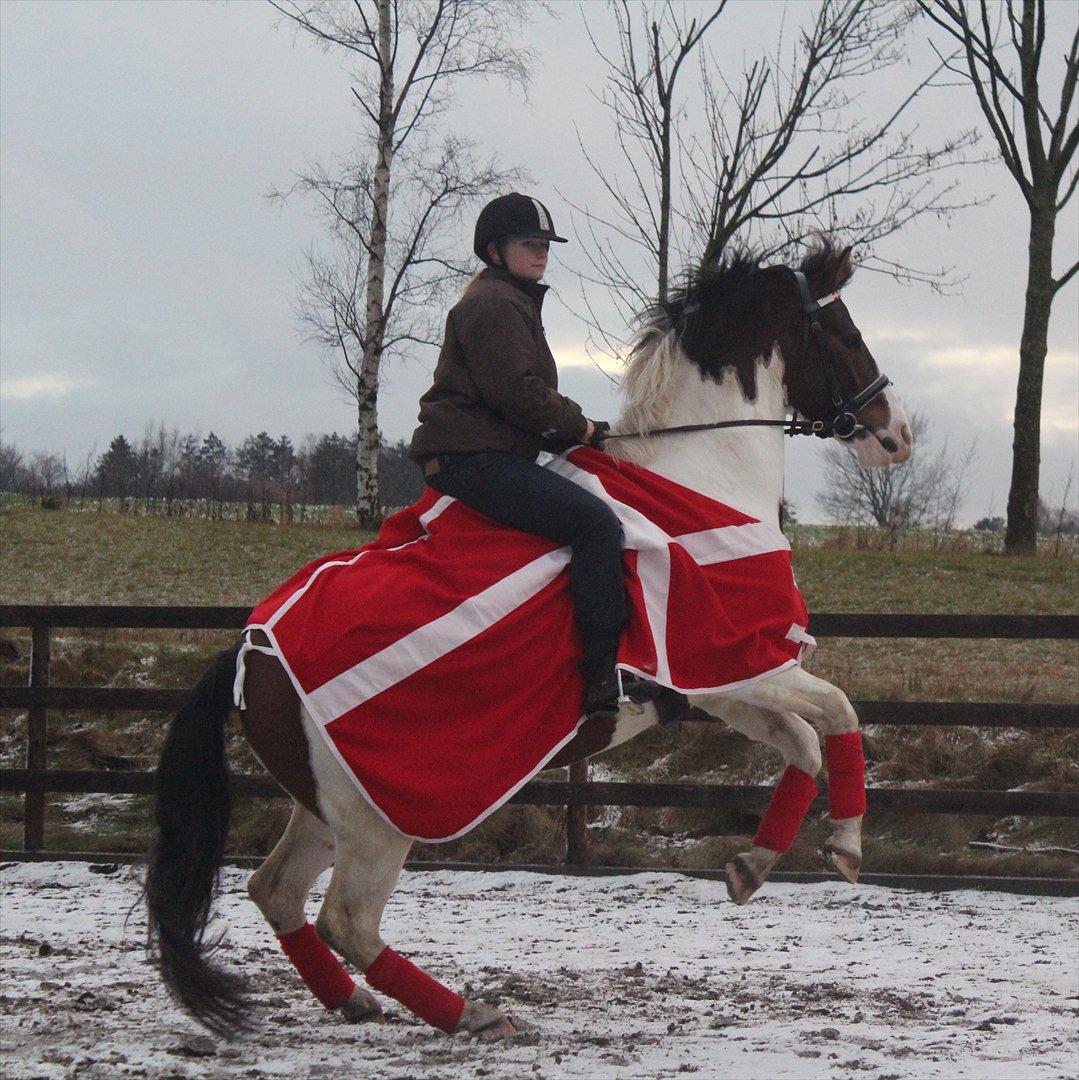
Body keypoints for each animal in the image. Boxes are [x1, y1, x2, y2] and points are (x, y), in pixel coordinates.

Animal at [145, 238, 911, 1036]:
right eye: (846, 334)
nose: (897, 435)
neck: (702, 476)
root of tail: (250, 649)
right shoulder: (748, 664)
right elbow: (838, 712)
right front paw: (844, 847)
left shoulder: (720, 683)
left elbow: (802, 741)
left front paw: (751, 867)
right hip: (377, 818)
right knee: (346, 919)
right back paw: (472, 1014)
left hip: (332, 804)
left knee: (275, 890)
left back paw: (355, 1001)